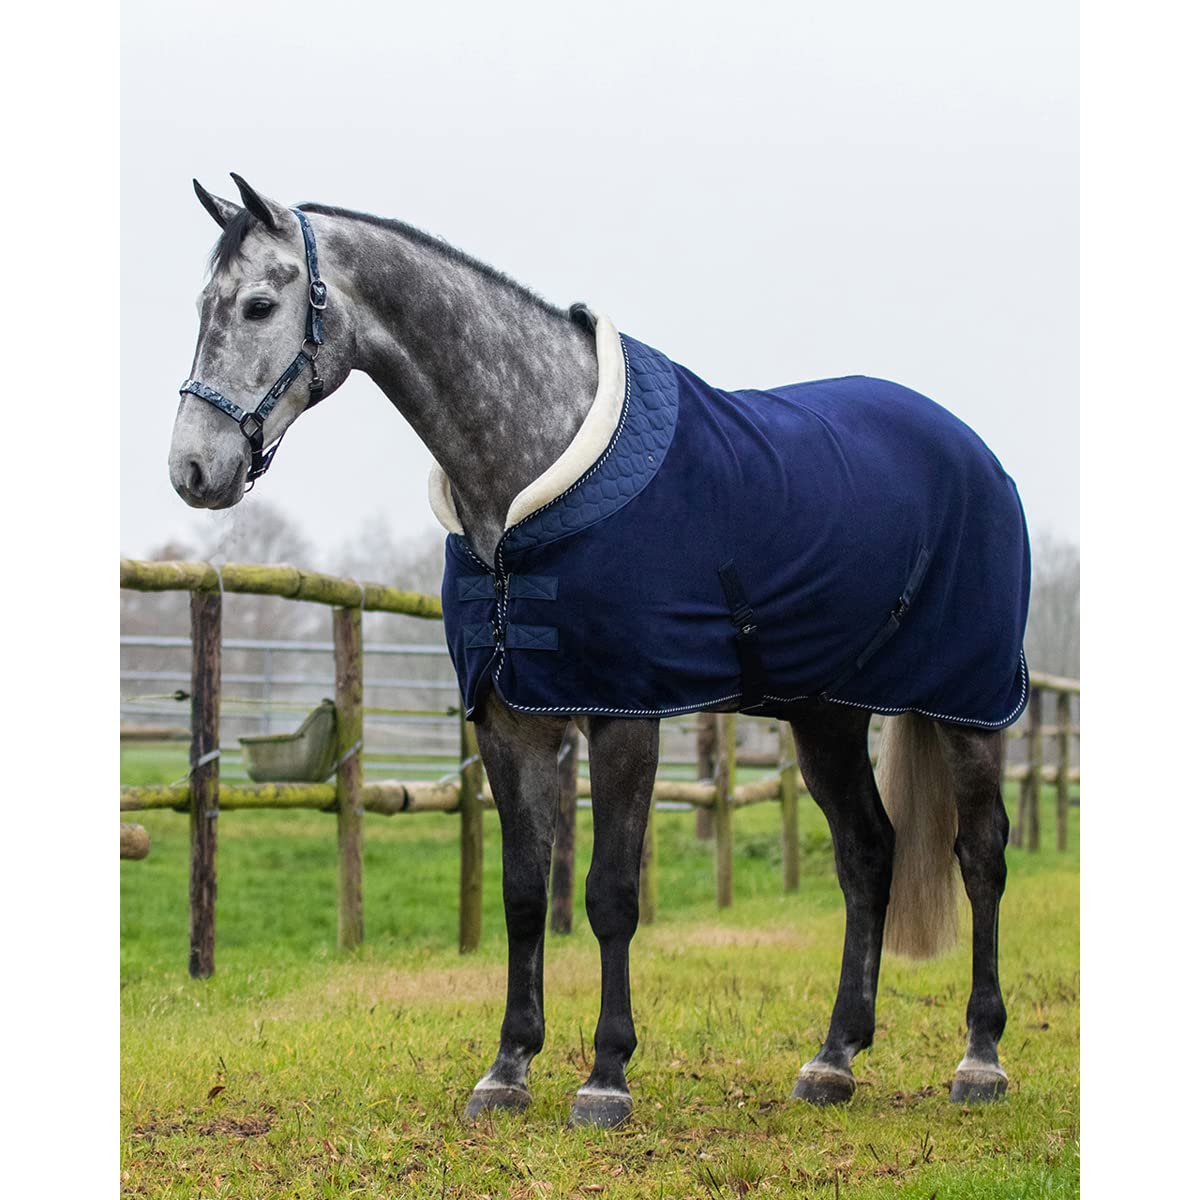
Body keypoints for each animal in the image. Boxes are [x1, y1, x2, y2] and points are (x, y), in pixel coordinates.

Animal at [168, 174, 1029, 1127]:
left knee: (981, 855)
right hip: (826, 718)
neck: (528, 476)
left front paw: (606, 1075)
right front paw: (507, 1069)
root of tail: (973, 452)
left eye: (258, 305)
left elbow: (610, 894)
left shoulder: (625, 715)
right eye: (203, 305)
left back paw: (980, 1059)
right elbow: (522, 894)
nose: (193, 471)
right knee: (869, 856)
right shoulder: (512, 722)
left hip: (969, 705)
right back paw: (834, 1058)